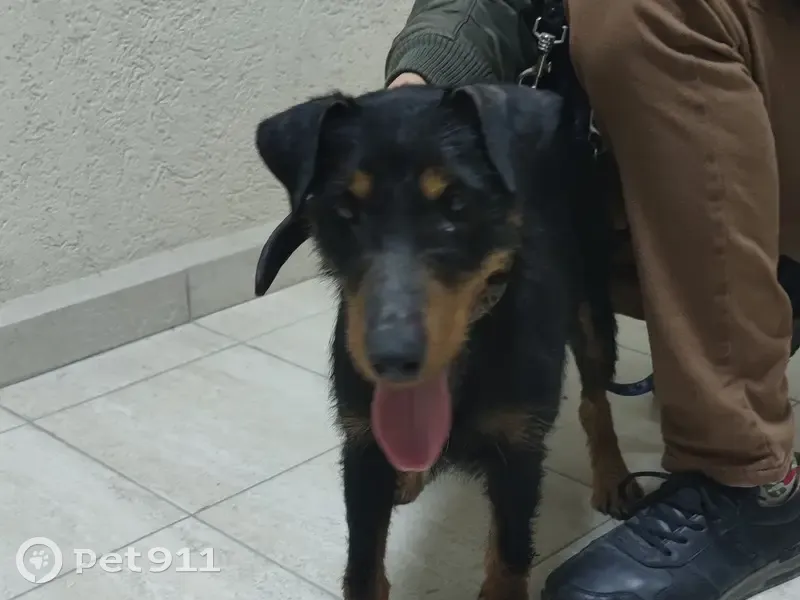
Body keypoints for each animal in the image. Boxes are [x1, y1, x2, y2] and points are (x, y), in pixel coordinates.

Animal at [253, 83, 641, 600]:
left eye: (456, 204)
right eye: (344, 211)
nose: (392, 357)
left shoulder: (518, 450)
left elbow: (508, 562)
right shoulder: (361, 448)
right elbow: (363, 570)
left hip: (593, 302)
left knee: (595, 400)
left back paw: (613, 475)